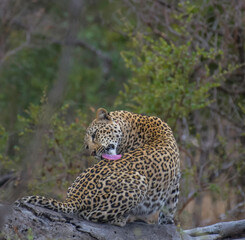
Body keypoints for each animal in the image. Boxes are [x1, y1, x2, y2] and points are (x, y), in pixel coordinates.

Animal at [15, 108, 180, 226]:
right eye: (87, 146)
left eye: (94, 134)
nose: (93, 153)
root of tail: (75, 197)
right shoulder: (174, 185)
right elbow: (170, 208)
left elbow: (169, 209)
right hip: (139, 181)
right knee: (90, 215)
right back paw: (123, 219)